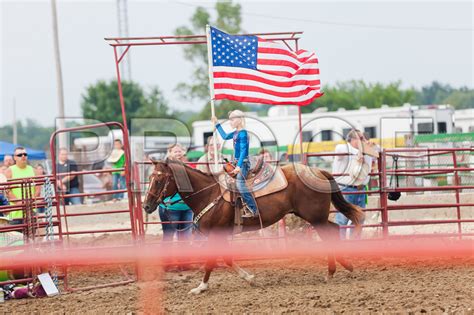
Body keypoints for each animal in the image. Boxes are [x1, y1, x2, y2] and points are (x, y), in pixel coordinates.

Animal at [143, 160, 364, 296]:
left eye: (160, 179)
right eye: (150, 177)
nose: (146, 206)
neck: (208, 193)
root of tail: (318, 171)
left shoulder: (216, 234)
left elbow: (211, 262)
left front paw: (201, 287)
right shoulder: (221, 235)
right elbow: (227, 259)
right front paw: (249, 278)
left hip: (315, 218)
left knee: (331, 233)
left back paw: (335, 270)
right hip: (315, 218)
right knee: (334, 231)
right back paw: (341, 268)